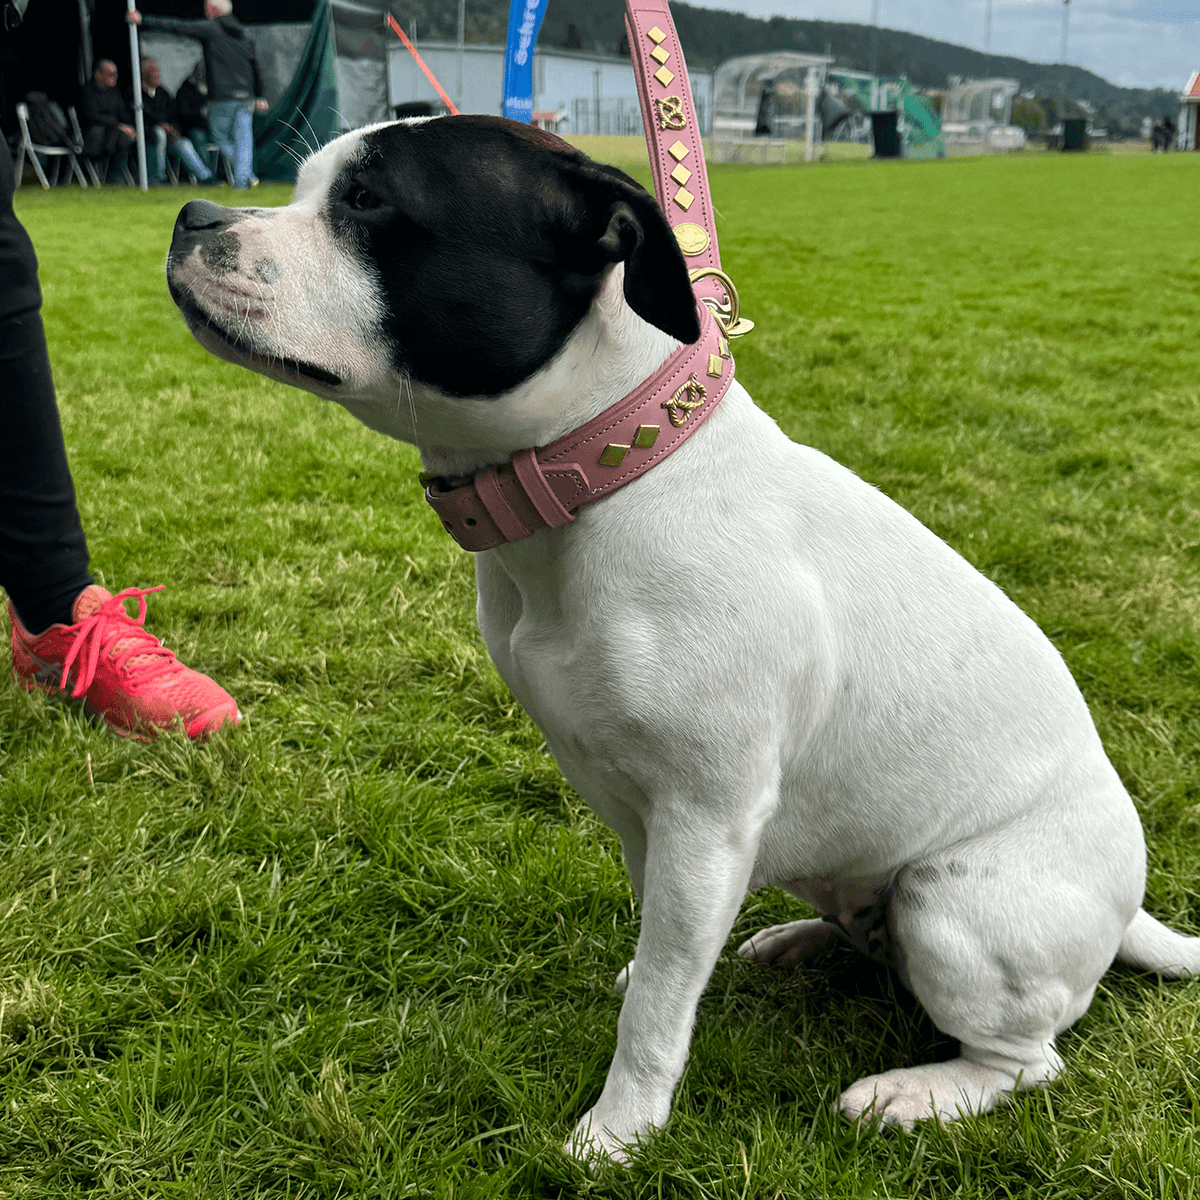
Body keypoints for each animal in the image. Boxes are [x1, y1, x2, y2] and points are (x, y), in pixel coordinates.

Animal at [166, 114, 1200, 1161]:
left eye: (369, 203)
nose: (191, 214)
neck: (605, 473)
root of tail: (1130, 910)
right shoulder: (640, 812)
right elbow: (663, 957)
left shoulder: (705, 817)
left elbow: (660, 1002)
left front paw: (619, 1130)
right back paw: (793, 943)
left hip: (953, 905)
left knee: (1026, 1059)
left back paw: (915, 1093)